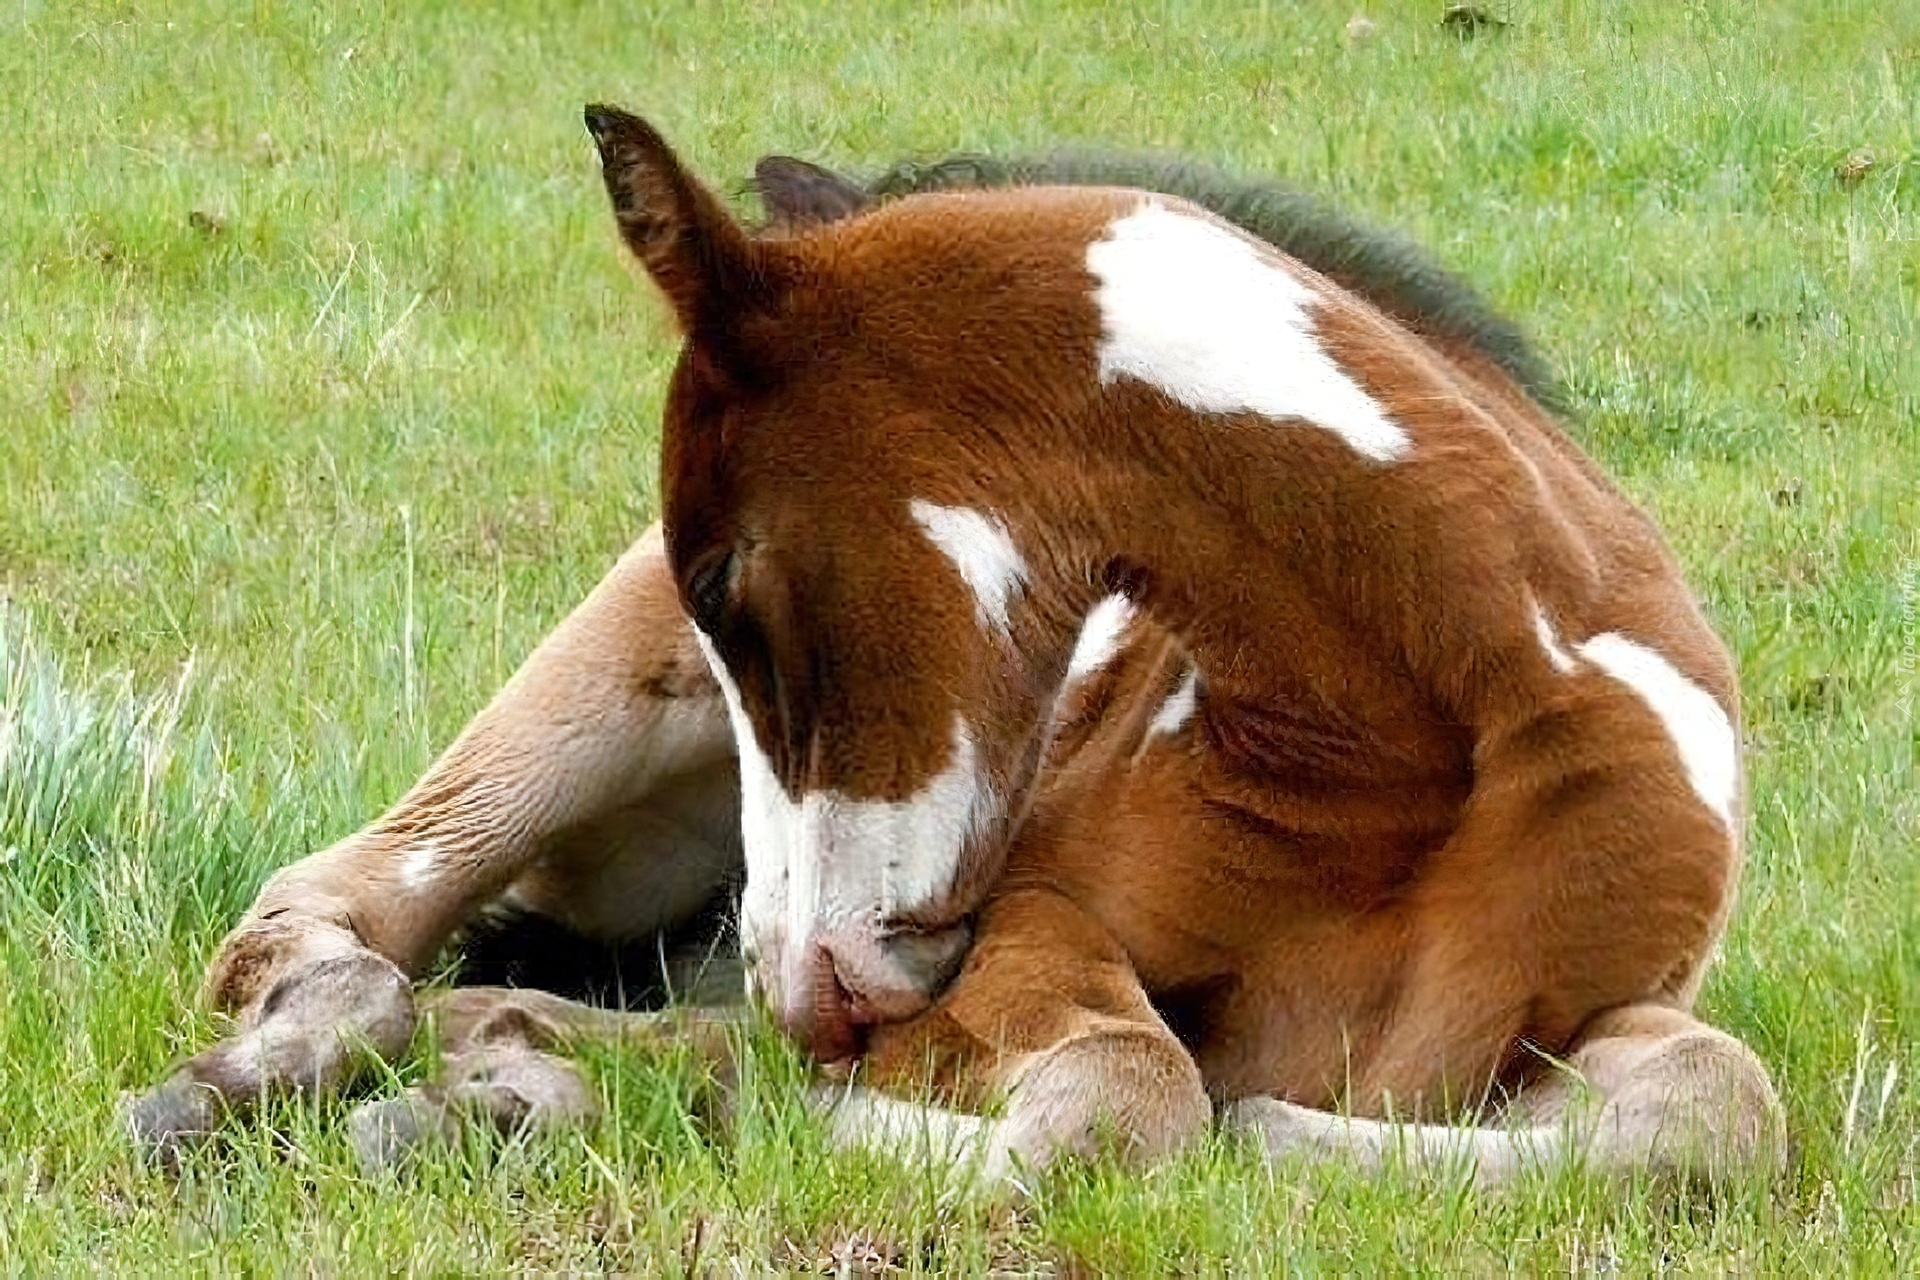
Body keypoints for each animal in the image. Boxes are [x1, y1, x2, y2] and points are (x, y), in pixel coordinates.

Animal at [127, 105, 1781, 1189]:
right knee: (340, 914)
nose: (809, 978)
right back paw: (286, 1075)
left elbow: (1722, 1112)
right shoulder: (1025, 927)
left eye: (727, 571)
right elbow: (1131, 1103)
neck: (1432, 731)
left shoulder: (1589, 1016)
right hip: (583, 724)